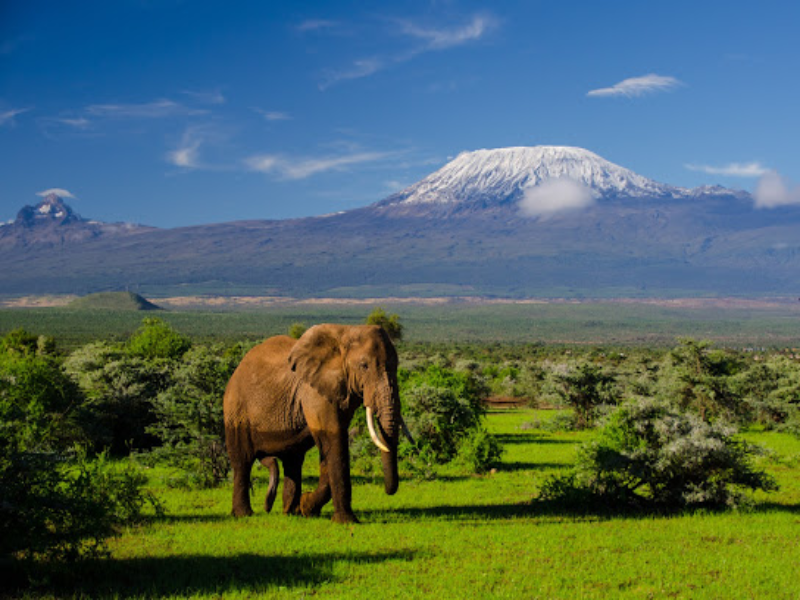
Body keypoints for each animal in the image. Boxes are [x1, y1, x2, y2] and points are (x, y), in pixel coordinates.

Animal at [222, 322, 404, 524]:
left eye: (396, 365)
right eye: (364, 366)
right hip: (236, 410)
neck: (346, 332)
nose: (389, 491)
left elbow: (328, 451)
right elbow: (334, 441)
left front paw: (307, 506)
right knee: (242, 461)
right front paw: (345, 521)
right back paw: (244, 514)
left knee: (293, 461)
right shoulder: (314, 392)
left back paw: (290, 512)